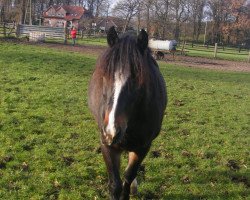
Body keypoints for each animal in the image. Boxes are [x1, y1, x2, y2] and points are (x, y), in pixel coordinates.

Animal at [88, 27, 168, 200]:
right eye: (104, 76)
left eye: (138, 80)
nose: (111, 131)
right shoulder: (106, 144)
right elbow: (115, 184)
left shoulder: (143, 146)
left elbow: (128, 176)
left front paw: (130, 188)